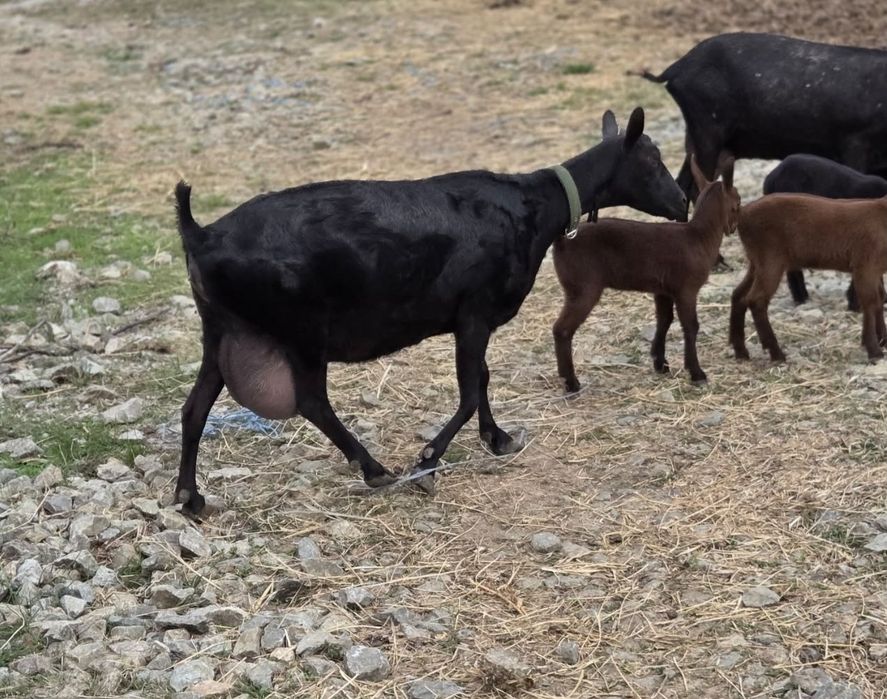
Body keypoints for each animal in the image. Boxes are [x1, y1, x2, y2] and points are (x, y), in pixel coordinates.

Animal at [173, 108, 688, 515]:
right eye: (652, 159)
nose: (683, 203)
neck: (533, 207)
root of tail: (200, 235)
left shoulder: (472, 320)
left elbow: (482, 378)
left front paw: (497, 438)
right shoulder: (474, 314)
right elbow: (469, 390)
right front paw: (428, 462)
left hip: (222, 330)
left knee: (195, 407)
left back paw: (189, 497)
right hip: (301, 330)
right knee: (312, 402)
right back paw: (375, 470)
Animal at [552, 155, 739, 391]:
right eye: (738, 204)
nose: (733, 227)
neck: (699, 236)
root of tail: (560, 241)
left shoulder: (664, 289)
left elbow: (664, 320)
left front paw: (660, 363)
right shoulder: (686, 289)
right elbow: (691, 326)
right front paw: (696, 373)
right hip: (583, 287)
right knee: (562, 329)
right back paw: (571, 382)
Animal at [730, 194, 887, 363]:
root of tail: (742, 213)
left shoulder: (877, 269)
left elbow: (880, 299)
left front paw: (882, 340)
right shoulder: (865, 265)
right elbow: (870, 302)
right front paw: (874, 350)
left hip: (756, 261)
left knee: (739, 295)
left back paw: (741, 351)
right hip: (770, 258)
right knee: (756, 299)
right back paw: (776, 353)